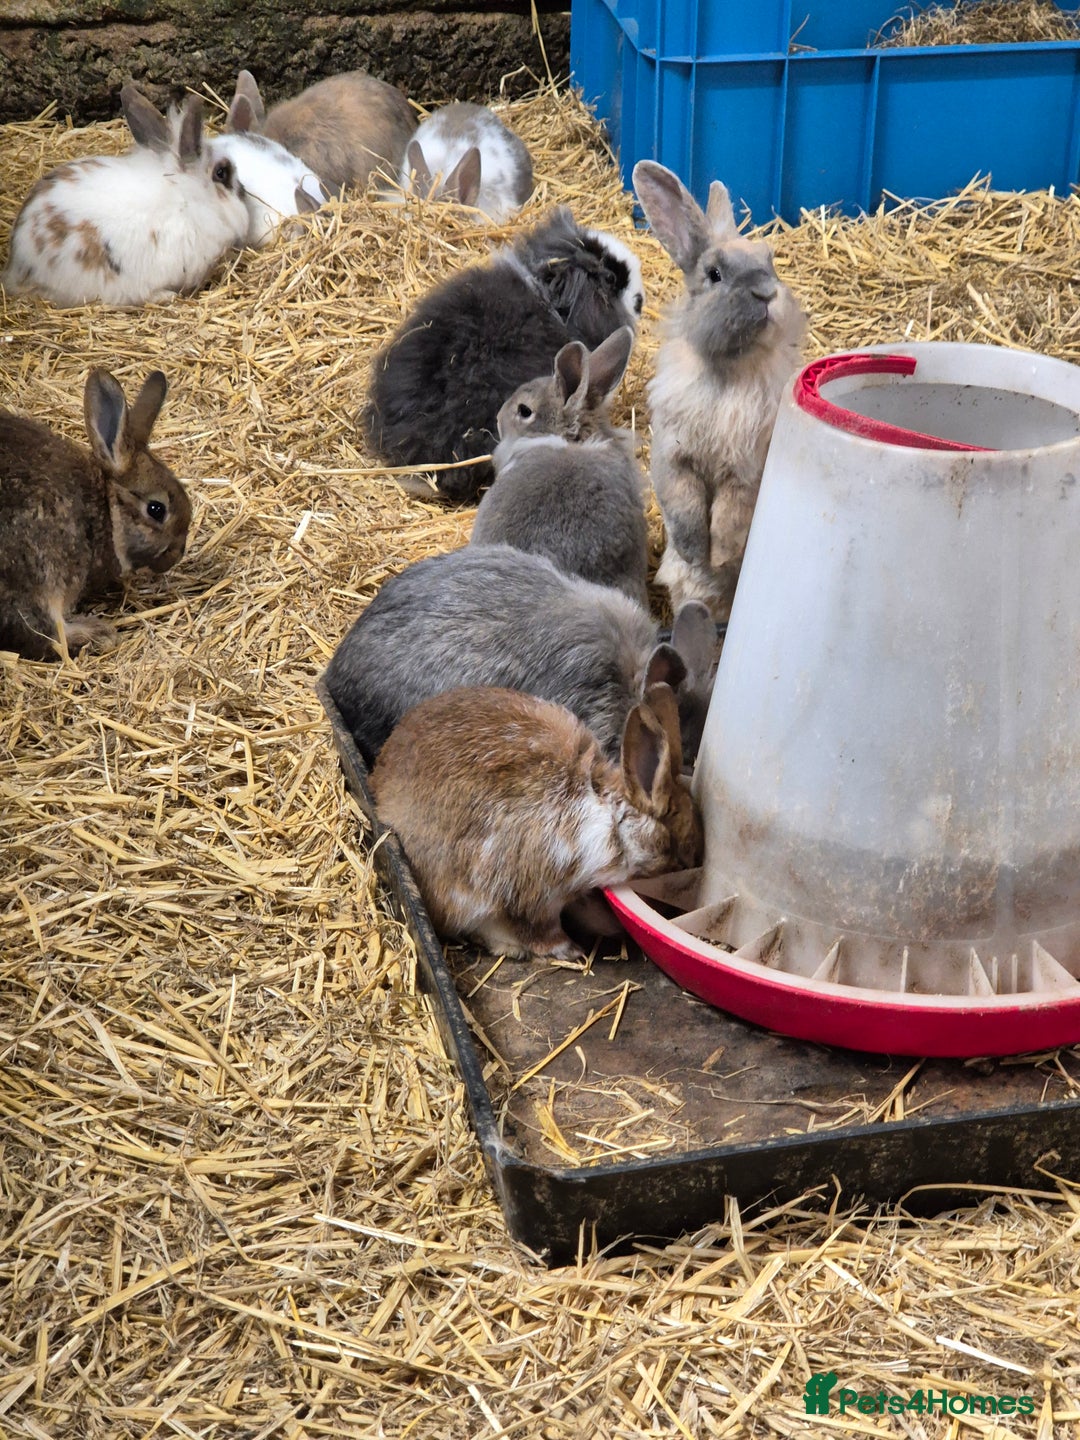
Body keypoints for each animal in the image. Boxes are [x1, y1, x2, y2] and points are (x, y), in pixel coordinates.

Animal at [370, 682, 703, 959]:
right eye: (679, 857)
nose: (668, 904)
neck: (608, 820)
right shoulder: (535, 897)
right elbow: (541, 932)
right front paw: (571, 951)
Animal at [632, 160, 807, 622]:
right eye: (714, 274)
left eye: (770, 261)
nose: (767, 294)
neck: (727, 370)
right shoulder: (675, 459)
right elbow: (686, 509)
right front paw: (696, 555)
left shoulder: (743, 469)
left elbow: (729, 517)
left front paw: (720, 558)